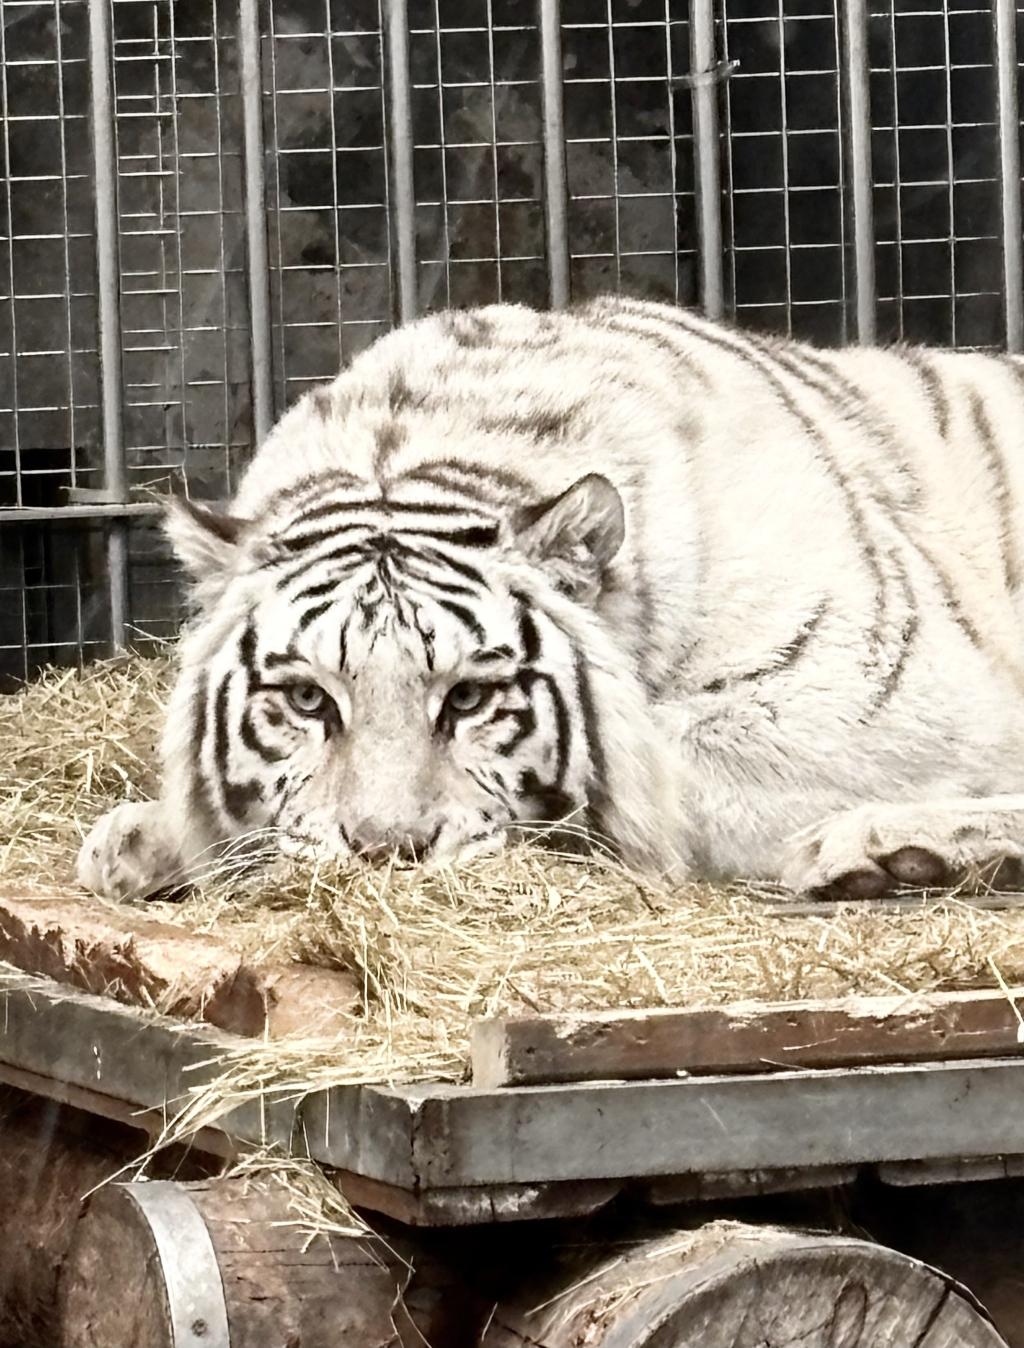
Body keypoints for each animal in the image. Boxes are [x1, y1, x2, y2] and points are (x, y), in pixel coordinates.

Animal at [76, 294, 1024, 903]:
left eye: (468, 697)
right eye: (308, 699)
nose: (387, 852)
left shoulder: (889, 693)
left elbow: (653, 757)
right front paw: (140, 840)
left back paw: (884, 850)